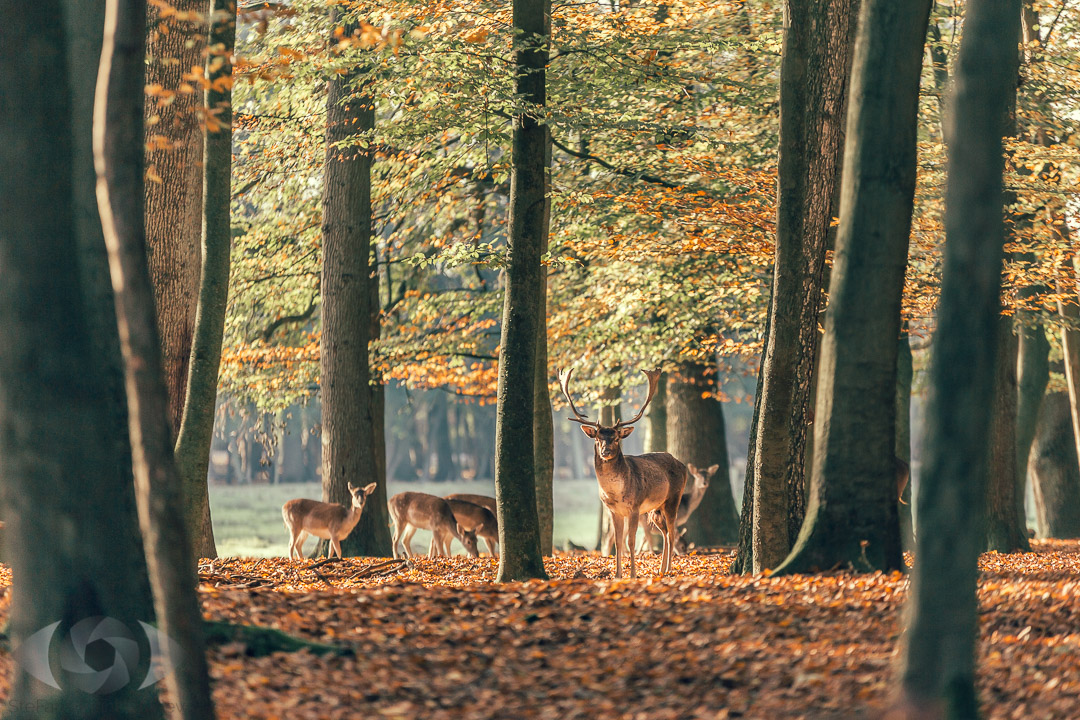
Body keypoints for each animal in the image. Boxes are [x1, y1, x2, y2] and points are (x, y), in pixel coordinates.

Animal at [561, 369, 686, 578]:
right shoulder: (613, 510)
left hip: (673, 498)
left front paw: (633, 574)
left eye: (617, 438)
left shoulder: (634, 507)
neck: (615, 493)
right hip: (656, 508)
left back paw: (669, 569)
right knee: (665, 533)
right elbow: (618, 542)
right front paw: (618, 574)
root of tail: (683, 464)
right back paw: (661, 569)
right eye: (597, 438)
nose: (606, 451)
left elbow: (631, 541)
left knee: (672, 532)